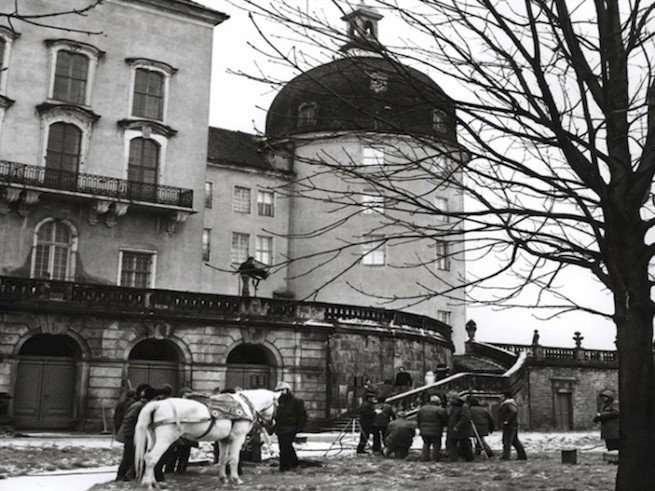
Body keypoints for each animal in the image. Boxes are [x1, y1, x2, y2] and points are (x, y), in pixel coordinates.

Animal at [135, 390, 278, 490]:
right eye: (277, 404)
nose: (272, 424)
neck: (244, 405)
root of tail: (158, 404)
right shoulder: (238, 437)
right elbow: (234, 459)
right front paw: (236, 479)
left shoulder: (224, 440)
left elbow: (223, 459)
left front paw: (223, 479)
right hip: (165, 440)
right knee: (151, 458)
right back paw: (148, 484)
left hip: (153, 438)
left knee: (149, 457)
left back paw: (154, 483)